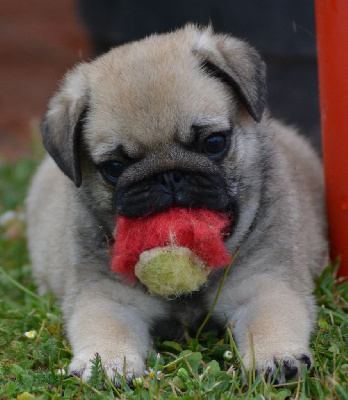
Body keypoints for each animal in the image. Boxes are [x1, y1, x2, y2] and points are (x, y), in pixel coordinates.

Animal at [25, 25, 328, 384]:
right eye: (114, 167)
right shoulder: (109, 295)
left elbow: (269, 319)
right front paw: (107, 363)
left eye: (214, 143)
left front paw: (277, 355)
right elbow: (107, 327)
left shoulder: (265, 281)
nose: (168, 177)